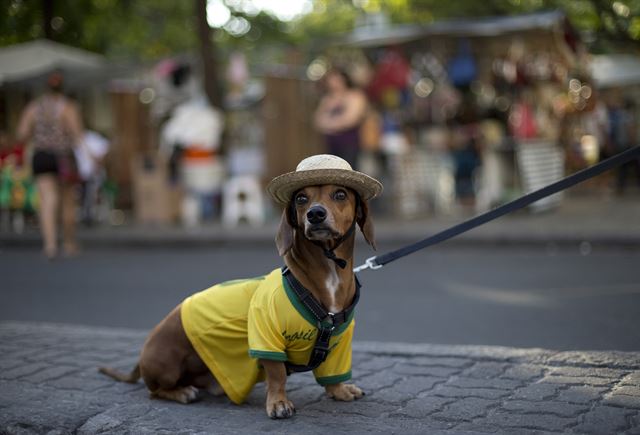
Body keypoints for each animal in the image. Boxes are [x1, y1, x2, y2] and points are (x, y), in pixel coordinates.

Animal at [97, 156, 382, 418]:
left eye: (340, 194)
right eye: (302, 198)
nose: (315, 214)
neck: (327, 273)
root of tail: (143, 354)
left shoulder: (338, 343)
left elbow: (332, 374)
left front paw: (340, 391)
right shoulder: (266, 336)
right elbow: (277, 374)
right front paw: (278, 402)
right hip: (166, 364)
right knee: (154, 391)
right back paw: (181, 392)